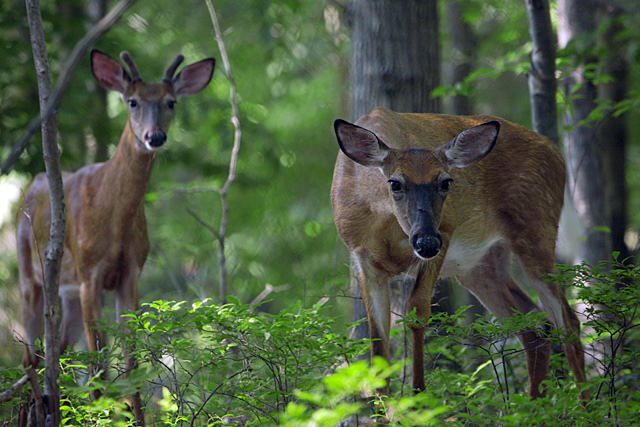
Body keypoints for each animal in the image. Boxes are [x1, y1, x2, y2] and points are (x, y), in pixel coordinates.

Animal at [16, 50, 215, 424]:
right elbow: (98, 364)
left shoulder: (129, 274)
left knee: (55, 355)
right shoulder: (89, 273)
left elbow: (130, 361)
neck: (115, 220)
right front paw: (101, 412)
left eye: (171, 102)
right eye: (132, 101)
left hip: (67, 295)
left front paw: (132, 416)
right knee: (30, 359)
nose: (155, 136)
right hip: (30, 278)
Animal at [332, 106, 588, 402]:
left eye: (445, 182)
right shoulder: (363, 259)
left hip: (536, 229)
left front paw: (419, 399)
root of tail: (555, 151)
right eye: (395, 183)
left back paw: (587, 406)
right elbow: (377, 342)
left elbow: (417, 311)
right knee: (535, 324)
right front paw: (383, 407)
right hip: (479, 265)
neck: (383, 224)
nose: (426, 242)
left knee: (568, 322)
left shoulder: (446, 230)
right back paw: (535, 405)